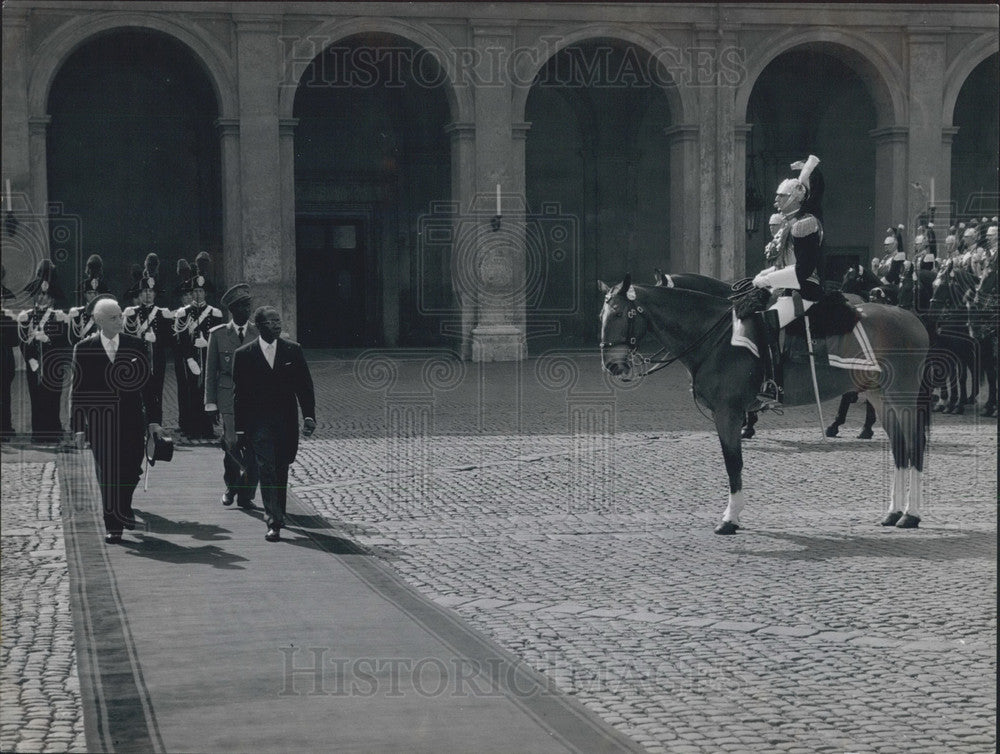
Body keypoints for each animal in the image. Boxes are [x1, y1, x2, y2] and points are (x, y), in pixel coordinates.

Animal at [596, 274, 932, 532]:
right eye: (603, 315)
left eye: (619, 314)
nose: (612, 365)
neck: (716, 338)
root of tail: (911, 317)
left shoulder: (728, 413)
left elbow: (733, 464)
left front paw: (730, 519)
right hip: (880, 397)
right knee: (899, 448)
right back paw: (893, 512)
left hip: (901, 397)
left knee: (913, 446)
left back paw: (912, 515)